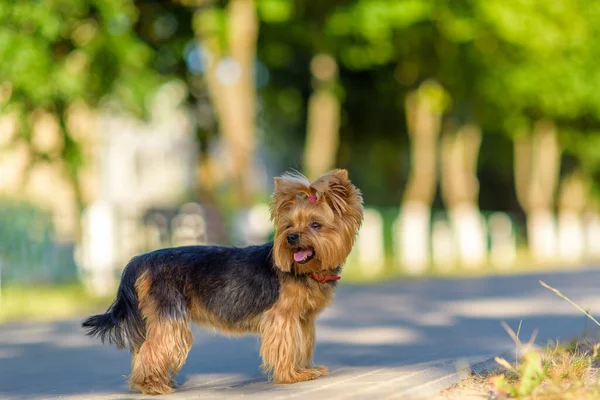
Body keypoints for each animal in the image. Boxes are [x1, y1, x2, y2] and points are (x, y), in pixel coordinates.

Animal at [82, 168, 364, 394]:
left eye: (315, 225)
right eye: (289, 225)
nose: (291, 238)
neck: (305, 269)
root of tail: (140, 260)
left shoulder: (303, 319)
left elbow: (302, 344)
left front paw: (305, 368)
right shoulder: (282, 317)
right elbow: (285, 345)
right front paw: (293, 375)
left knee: (144, 348)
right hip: (170, 315)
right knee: (155, 346)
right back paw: (152, 386)